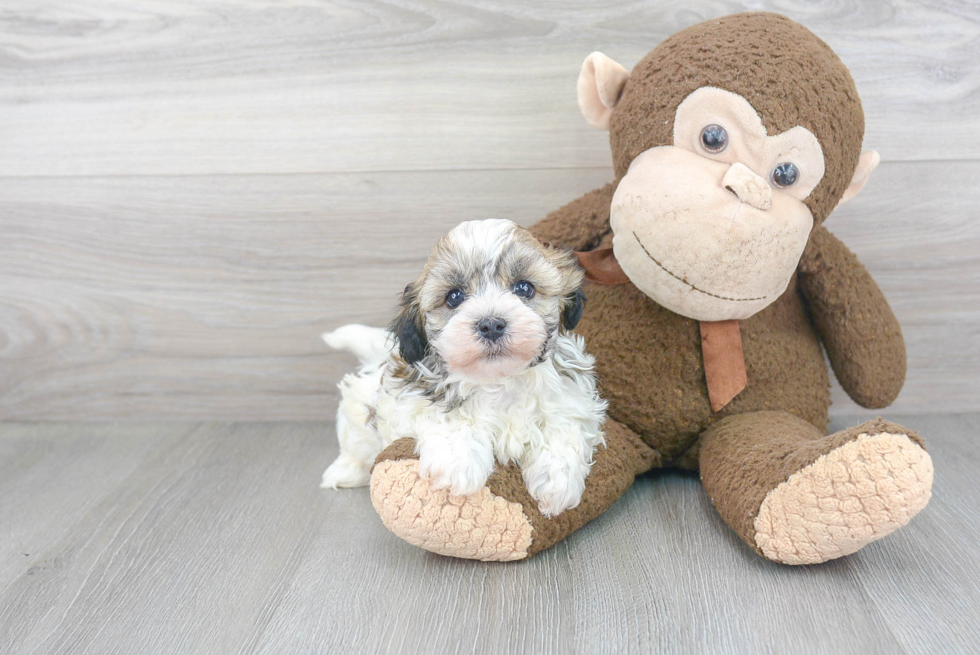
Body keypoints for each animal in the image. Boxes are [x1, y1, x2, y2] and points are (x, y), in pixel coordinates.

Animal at [322, 220, 604, 516]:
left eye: (524, 288)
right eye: (454, 297)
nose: (491, 324)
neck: (499, 380)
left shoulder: (573, 399)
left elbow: (563, 425)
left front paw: (557, 481)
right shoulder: (410, 397)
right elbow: (447, 418)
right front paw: (457, 465)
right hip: (360, 412)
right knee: (357, 445)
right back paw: (344, 472)